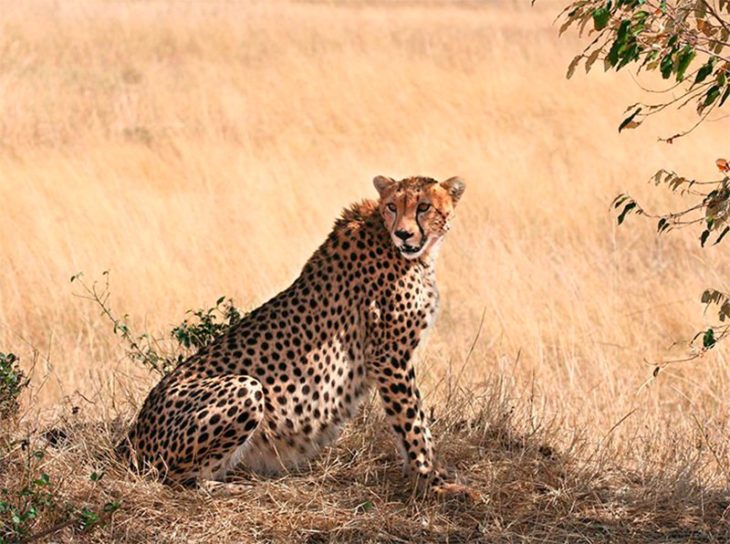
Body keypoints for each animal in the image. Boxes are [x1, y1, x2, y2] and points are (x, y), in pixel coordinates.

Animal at [124, 175, 466, 498]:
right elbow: (412, 422)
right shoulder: (389, 356)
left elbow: (417, 419)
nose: (404, 234)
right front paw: (432, 482)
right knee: (177, 478)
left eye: (423, 207)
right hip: (246, 387)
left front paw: (435, 477)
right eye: (393, 206)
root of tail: (133, 435)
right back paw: (235, 488)